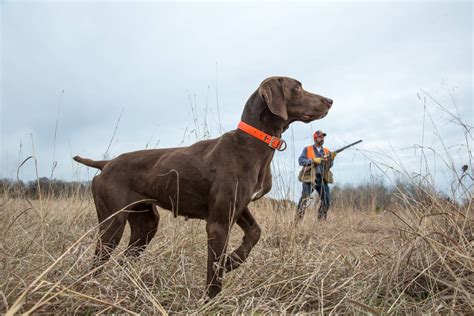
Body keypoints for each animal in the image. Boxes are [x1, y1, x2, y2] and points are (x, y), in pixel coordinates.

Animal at [74, 76, 334, 298]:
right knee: (96, 263)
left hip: (145, 225)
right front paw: (211, 299)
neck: (252, 143)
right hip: (112, 223)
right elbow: (214, 272)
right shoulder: (218, 223)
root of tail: (106, 163)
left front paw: (232, 261)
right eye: (297, 87)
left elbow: (255, 233)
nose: (330, 101)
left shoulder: (238, 208)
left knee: (123, 258)